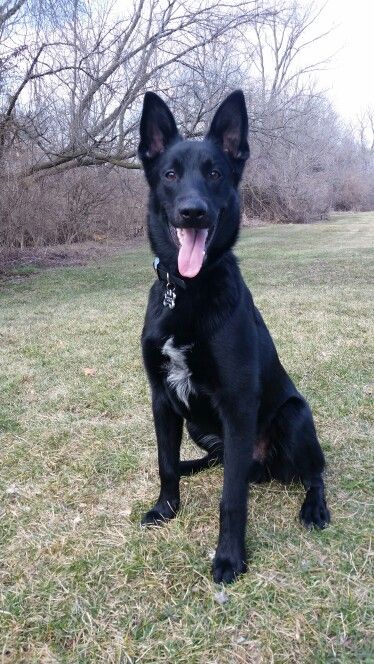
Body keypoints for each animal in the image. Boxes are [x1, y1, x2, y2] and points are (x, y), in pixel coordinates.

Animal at [138, 89, 330, 580]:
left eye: (215, 174)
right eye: (170, 174)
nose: (193, 212)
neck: (188, 291)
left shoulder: (237, 405)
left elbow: (231, 499)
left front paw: (229, 557)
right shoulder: (162, 398)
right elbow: (164, 463)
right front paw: (166, 508)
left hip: (293, 417)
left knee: (313, 473)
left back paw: (315, 508)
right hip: (197, 424)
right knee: (215, 459)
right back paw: (193, 465)